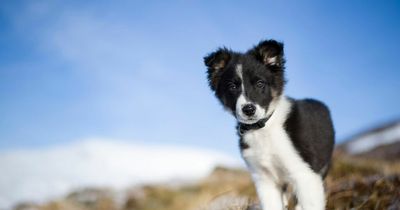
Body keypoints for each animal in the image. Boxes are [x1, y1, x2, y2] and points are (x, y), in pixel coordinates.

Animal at [203, 39, 334, 210]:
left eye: (260, 83)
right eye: (232, 87)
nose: (248, 109)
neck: (263, 128)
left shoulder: (305, 174)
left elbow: (311, 204)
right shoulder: (264, 180)